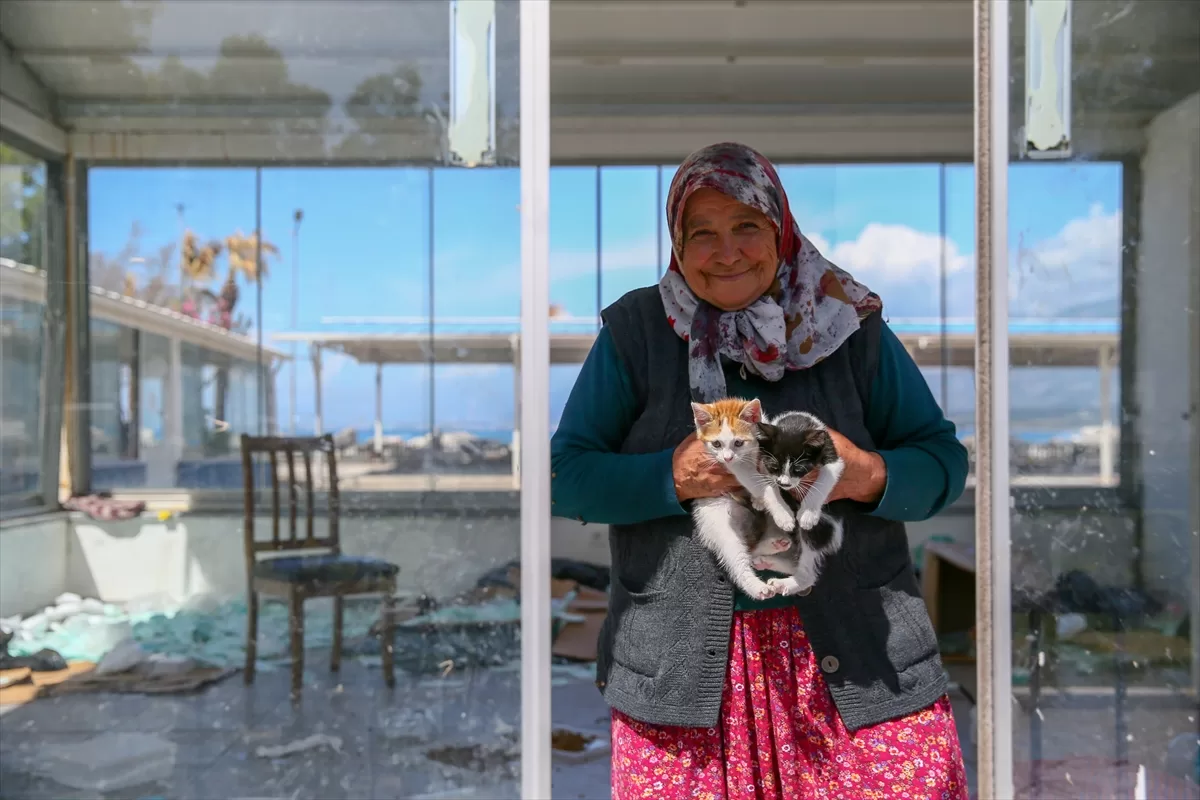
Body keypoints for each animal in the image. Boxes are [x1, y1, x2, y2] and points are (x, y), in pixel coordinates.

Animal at [696, 398, 796, 597]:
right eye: (716, 444)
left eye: (738, 442)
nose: (727, 457)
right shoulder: (737, 467)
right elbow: (762, 484)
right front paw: (783, 513)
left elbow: (769, 478)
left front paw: (763, 501)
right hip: (718, 523)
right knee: (738, 558)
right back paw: (757, 587)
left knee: (753, 550)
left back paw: (775, 544)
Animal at [753, 412, 849, 594]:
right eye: (774, 466)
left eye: (798, 469)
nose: (784, 484)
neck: (796, 422)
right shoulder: (763, 462)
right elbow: (768, 486)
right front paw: (783, 515)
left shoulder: (831, 453)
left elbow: (825, 478)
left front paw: (808, 514)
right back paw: (765, 559)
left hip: (822, 528)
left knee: (807, 571)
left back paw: (788, 583)